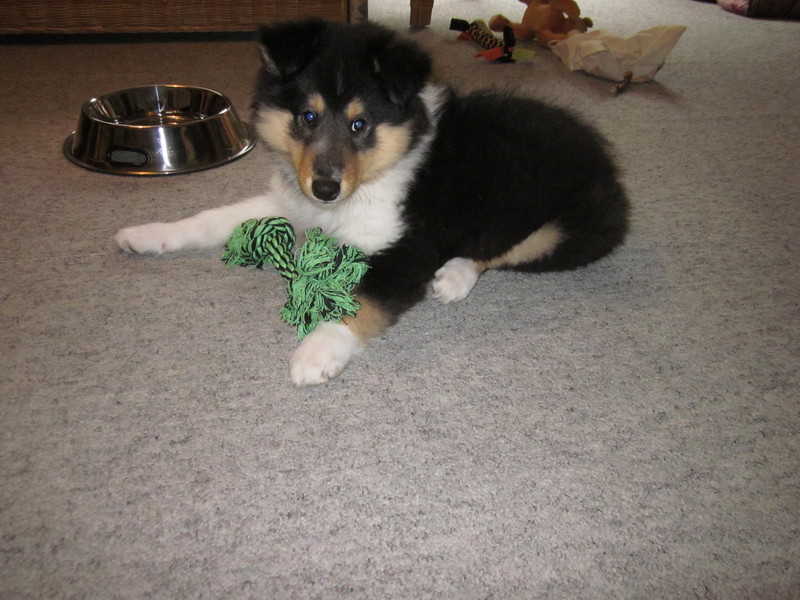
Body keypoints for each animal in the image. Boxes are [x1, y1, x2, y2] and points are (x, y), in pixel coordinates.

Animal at [114, 18, 629, 386]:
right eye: (307, 117)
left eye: (360, 125)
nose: (325, 188)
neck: (368, 181)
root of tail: (606, 156)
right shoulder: (293, 203)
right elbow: (212, 218)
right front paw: (146, 235)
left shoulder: (411, 246)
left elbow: (362, 297)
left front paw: (316, 351)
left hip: (570, 228)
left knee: (503, 247)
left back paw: (456, 276)